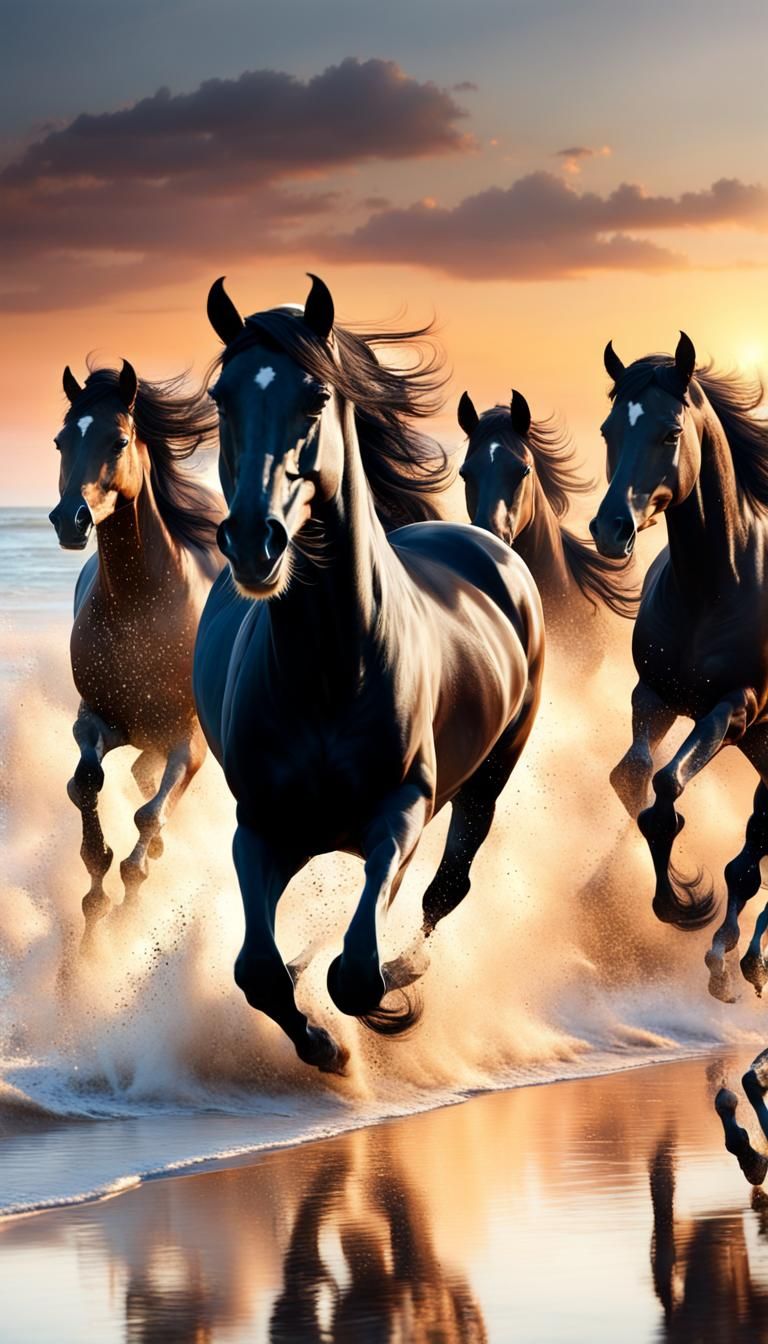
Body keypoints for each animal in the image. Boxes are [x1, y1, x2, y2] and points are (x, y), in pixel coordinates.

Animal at [49, 361, 225, 945]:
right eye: (61, 440)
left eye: (119, 439)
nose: (71, 518)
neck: (139, 607)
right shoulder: (96, 720)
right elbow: (86, 783)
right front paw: (95, 897)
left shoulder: (189, 741)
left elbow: (149, 818)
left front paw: (125, 912)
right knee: (132, 776)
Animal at [193, 273, 544, 1074]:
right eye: (223, 395)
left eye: (316, 395)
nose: (254, 541)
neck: (330, 668)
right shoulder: (260, 827)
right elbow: (258, 970)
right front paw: (324, 1045)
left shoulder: (401, 809)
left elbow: (356, 969)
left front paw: (376, 1011)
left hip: (488, 779)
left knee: (446, 889)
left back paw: (409, 970)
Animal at [590, 333, 768, 1001]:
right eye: (610, 428)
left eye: (669, 433)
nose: (609, 528)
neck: (714, 585)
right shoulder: (654, 696)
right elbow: (632, 777)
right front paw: (682, 891)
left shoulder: (733, 710)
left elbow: (667, 786)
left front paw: (679, 905)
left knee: (754, 855)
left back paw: (732, 960)